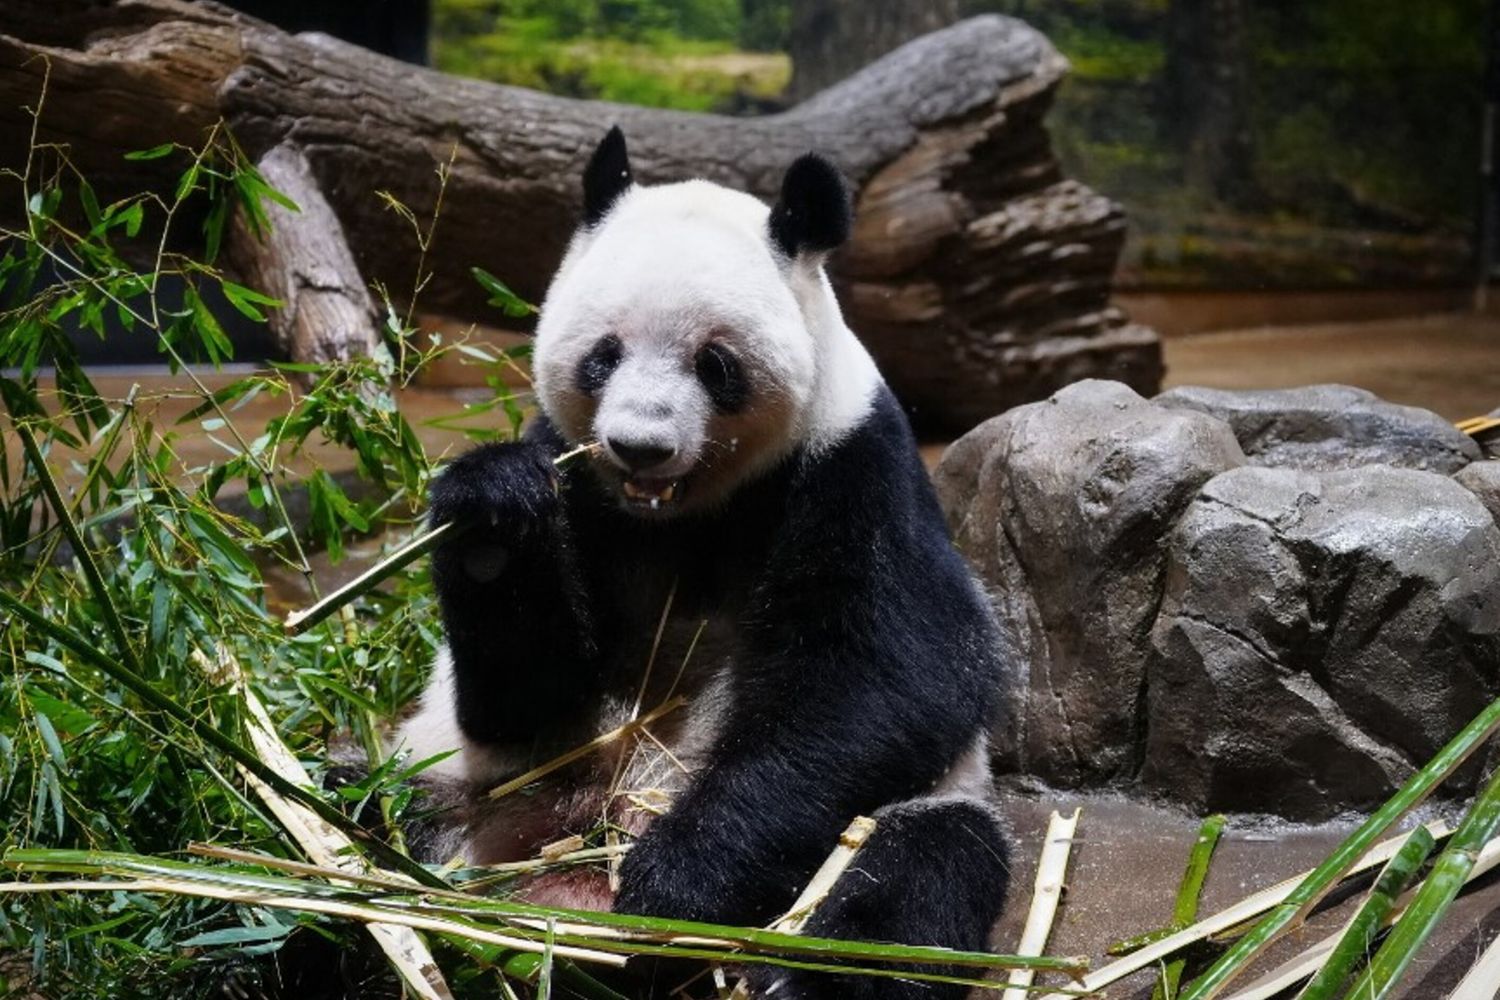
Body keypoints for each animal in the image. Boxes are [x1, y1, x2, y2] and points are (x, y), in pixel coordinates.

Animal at [392, 127, 1012, 999]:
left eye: (715, 365)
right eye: (602, 356)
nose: (639, 445)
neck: (683, 515)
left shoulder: (853, 466)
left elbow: (892, 674)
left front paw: (676, 883)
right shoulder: (579, 487)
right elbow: (524, 696)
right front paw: (490, 514)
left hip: (913, 812)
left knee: (915, 877)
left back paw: (802, 976)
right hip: (458, 785)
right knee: (367, 803)